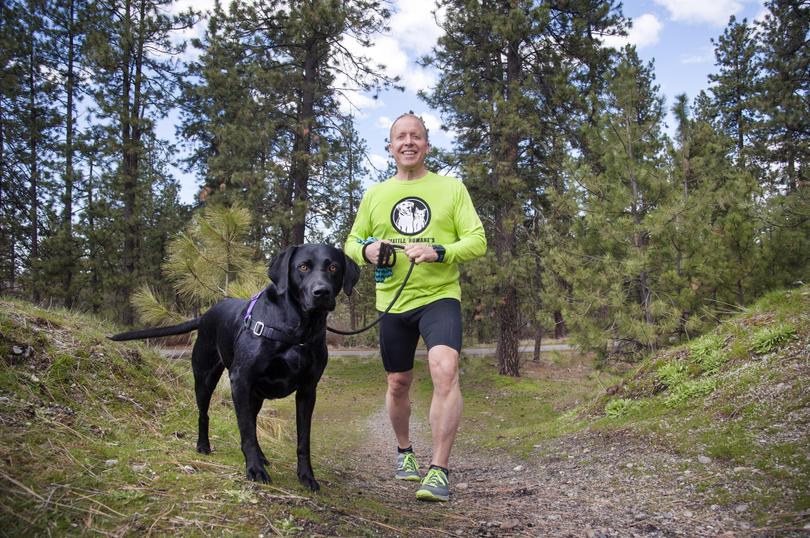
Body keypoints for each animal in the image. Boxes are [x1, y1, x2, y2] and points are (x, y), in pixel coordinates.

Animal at [110, 244, 360, 490]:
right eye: (303, 267)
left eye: (334, 267)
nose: (322, 292)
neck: (298, 328)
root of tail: (205, 314)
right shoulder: (241, 381)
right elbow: (247, 432)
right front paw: (255, 470)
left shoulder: (307, 390)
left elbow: (302, 440)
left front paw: (307, 477)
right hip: (206, 379)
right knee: (205, 414)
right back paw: (204, 446)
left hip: (254, 396)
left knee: (252, 421)